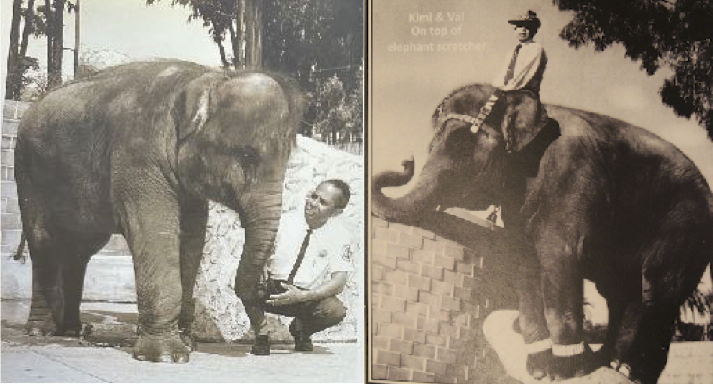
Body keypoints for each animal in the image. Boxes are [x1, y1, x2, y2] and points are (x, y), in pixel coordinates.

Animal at [13, 60, 304, 364]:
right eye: (247, 155)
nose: (261, 346)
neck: (204, 77)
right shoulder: (139, 158)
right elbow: (156, 234)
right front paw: (167, 356)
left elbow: (191, 240)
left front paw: (186, 344)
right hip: (28, 175)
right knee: (44, 243)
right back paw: (41, 331)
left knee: (80, 250)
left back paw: (71, 330)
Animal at [372, 85, 712, 384]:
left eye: (460, 144)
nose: (406, 160)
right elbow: (524, 260)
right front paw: (538, 368)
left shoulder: (572, 175)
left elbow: (558, 256)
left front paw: (567, 371)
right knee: (620, 294)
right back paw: (607, 362)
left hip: (685, 228)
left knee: (657, 292)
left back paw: (628, 370)